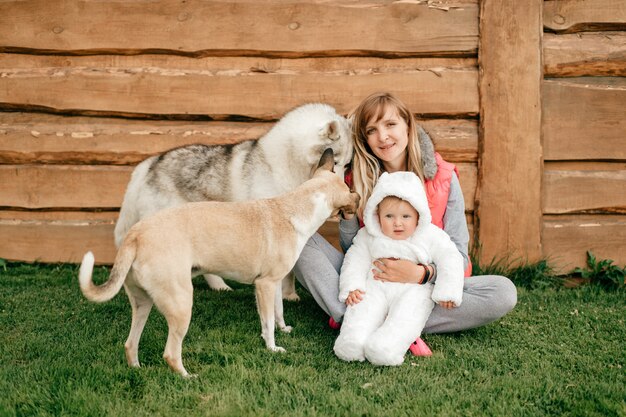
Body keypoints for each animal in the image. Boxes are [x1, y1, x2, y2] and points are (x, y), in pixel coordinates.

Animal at [79, 150, 356, 376]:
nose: (358, 198)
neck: (298, 206)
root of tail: (136, 235)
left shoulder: (272, 284)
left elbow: (276, 312)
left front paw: (283, 328)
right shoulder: (265, 285)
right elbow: (268, 323)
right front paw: (272, 347)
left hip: (143, 303)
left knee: (130, 343)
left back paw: (137, 369)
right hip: (181, 304)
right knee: (170, 353)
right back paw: (187, 377)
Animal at [114, 102, 354, 294]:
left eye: (347, 164)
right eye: (336, 162)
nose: (345, 187)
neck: (286, 165)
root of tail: (150, 163)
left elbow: (290, 272)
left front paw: (290, 296)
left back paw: (220, 287)